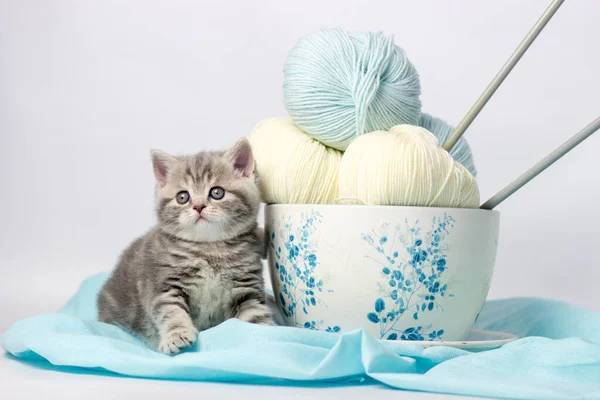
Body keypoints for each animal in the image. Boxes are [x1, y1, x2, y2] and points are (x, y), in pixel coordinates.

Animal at [98, 138, 274, 354]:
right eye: (183, 197)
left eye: (217, 192)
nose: (198, 206)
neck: (210, 249)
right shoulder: (165, 285)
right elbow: (171, 312)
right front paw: (176, 336)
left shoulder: (245, 286)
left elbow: (255, 313)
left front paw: (266, 333)